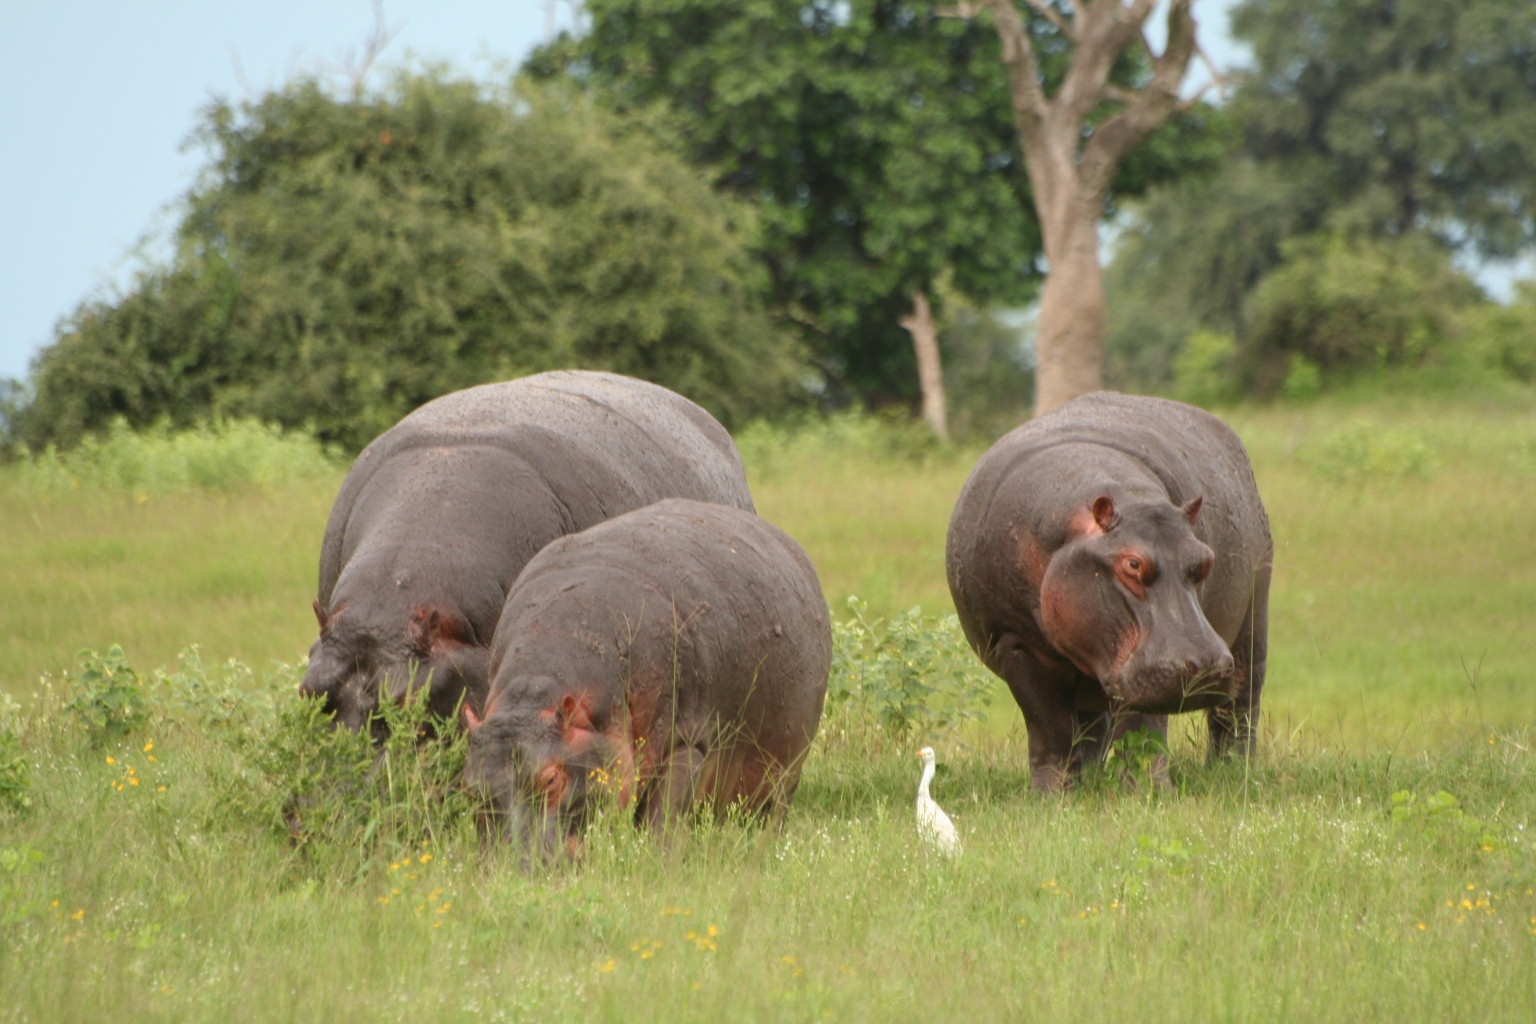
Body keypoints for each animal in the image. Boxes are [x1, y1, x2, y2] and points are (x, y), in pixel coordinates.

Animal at [463, 497, 835, 865]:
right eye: (470, 788)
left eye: (552, 779)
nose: (511, 867)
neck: (537, 687)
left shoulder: (688, 741)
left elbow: (662, 818)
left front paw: (658, 862)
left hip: (785, 768)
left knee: (770, 814)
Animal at [946, 393, 1271, 792]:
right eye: (1132, 564)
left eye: (1205, 559)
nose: (1207, 665)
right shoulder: (1016, 641)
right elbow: (1050, 726)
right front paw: (1050, 796)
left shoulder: (1144, 670)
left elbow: (1143, 729)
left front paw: (1148, 793)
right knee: (1089, 723)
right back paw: (1090, 780)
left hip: (1253, 616)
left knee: (1240, 703)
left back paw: (1231, 772)